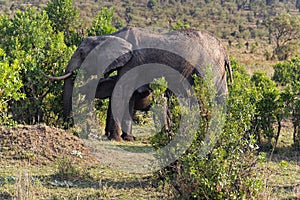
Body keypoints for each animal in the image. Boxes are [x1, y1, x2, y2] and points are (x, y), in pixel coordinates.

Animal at [44, 26, 232, 141]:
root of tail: (224, 51)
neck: (109, 37)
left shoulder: (133, 62)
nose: (69, 128)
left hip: (209, 66)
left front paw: (116, 139)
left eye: (82, 53)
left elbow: (121, 93)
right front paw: (125, 138)